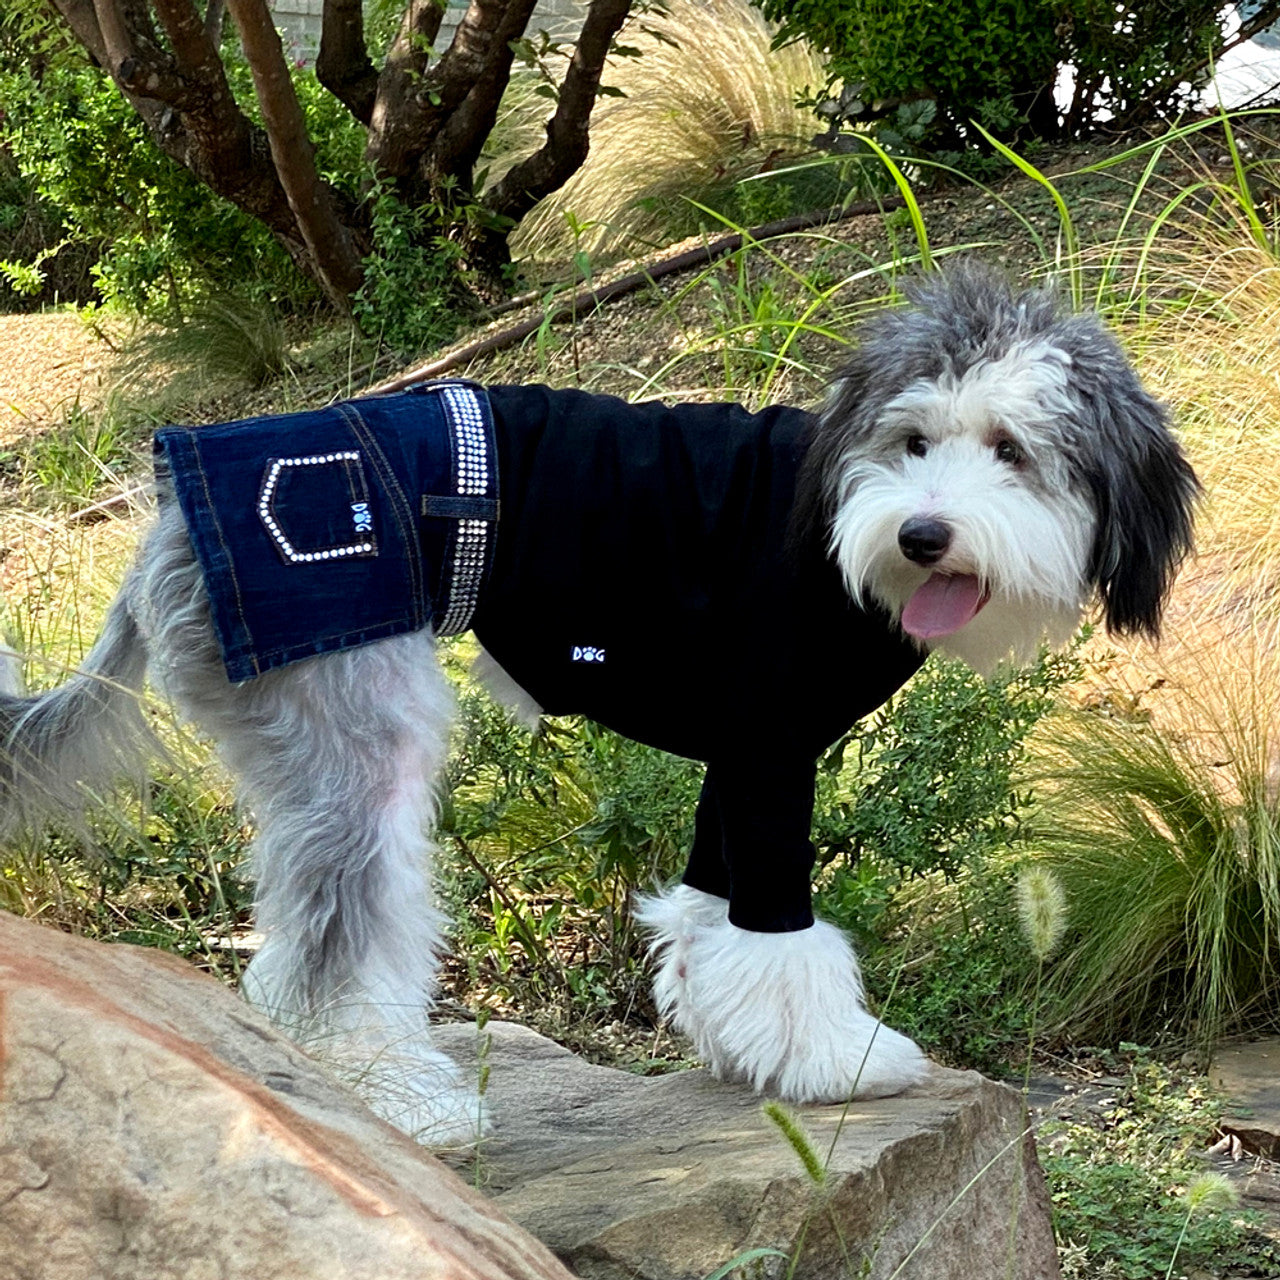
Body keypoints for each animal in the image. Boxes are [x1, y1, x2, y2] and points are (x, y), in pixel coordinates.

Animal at [0, 264, 1198, 1146]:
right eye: (913, 441)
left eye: (1012, 451)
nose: (923, 533)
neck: (839, 530)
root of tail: (170, 503)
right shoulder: (771, 746)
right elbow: (777, 925)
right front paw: (832, 1056)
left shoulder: (740, 759)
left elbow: (712, 907)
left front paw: (731, 1033)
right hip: (352, 727)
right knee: (324, 952)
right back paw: (402, 1098)